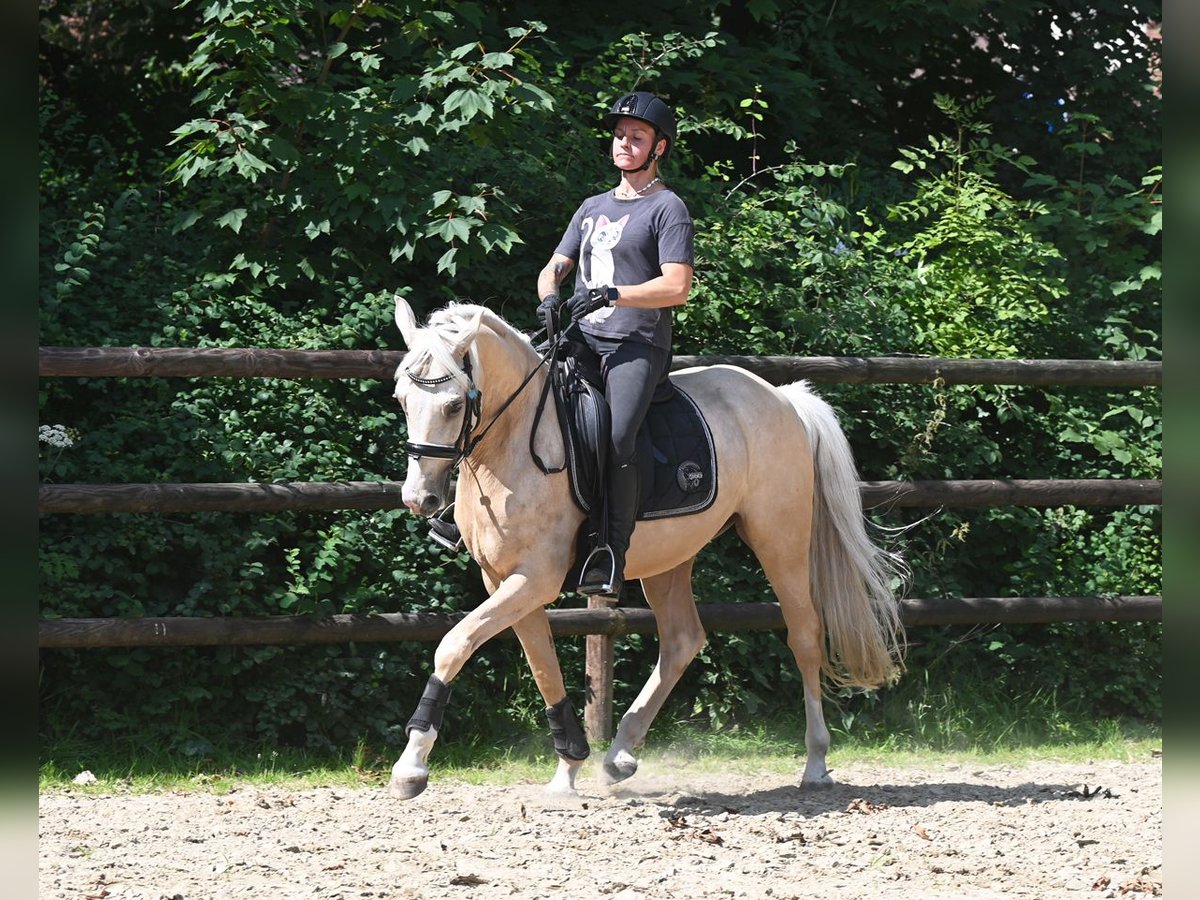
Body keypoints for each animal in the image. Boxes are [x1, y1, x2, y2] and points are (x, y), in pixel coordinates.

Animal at [388, 300, 902, 801]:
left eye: (455, 404)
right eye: (401, 399)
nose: (419, 499)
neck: (514, 443)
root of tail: (783, 398)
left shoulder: (535, 578)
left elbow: (454, 644)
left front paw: (412, 766)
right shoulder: (502, 578)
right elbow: (543, 667)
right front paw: (569, 766)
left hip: (780, 539)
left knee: (805, 635)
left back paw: (815, 764)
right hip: (670, 557)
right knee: (682, 640)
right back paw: (619, 755)